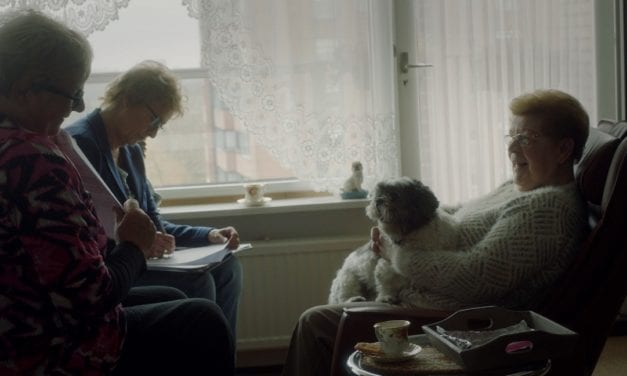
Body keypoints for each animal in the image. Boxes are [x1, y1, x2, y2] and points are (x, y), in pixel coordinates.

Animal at [328, 177, 456, 306]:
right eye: (378, 193)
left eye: (394, 195)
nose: (378, 200)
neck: (409, 233)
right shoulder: (386, 264)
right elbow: (386, 282)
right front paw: (386, 297)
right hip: (348, 278)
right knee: (344, 296)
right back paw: (353, 299)